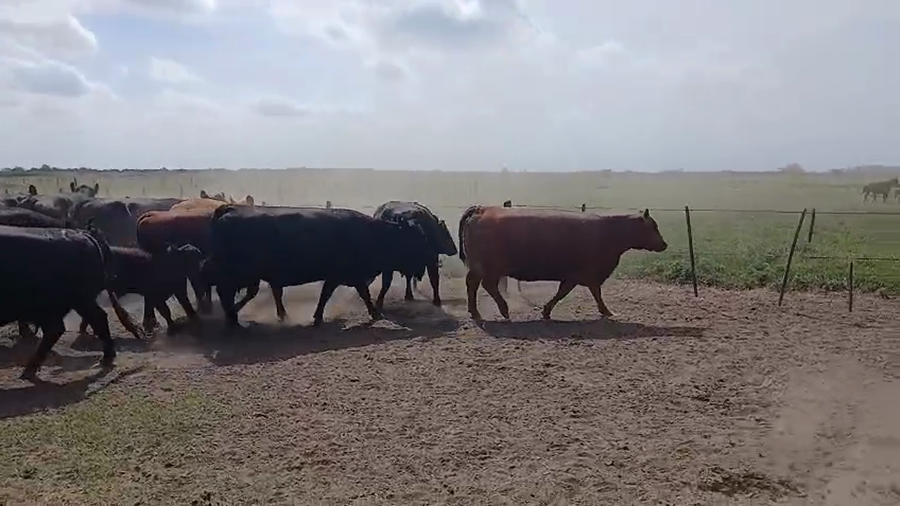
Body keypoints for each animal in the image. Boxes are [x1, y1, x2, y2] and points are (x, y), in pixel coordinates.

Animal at [76, 244, 205, 335]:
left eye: (198, 258)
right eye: (190, 259)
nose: (198, 271)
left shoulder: (177, 292)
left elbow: (186, 306)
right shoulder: (155, 296)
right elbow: (165, 311)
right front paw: (171, 327)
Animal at [202, 204, 433, 328]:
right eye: (416, 238)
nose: (427, 259)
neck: (372, 233)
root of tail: (230, 209)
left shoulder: (336, 277)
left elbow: (326, 295)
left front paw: (318, 316)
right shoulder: (351, 275)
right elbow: (362, 294)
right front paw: (376, 314)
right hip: (240, 273)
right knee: (230, 292)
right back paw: (233, 317)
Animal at [458, 206, 668, 321]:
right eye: (653, 226)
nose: (664, 244)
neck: (610, 232)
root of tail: (483, 209)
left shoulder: (575, 276)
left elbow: (570, 292)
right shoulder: (583, 274)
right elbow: (576, 293)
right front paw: (606, 311)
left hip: (480, 267)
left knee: (472, 284)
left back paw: (476, 312)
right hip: (490, 267)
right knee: (487, 285)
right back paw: (503, 310)